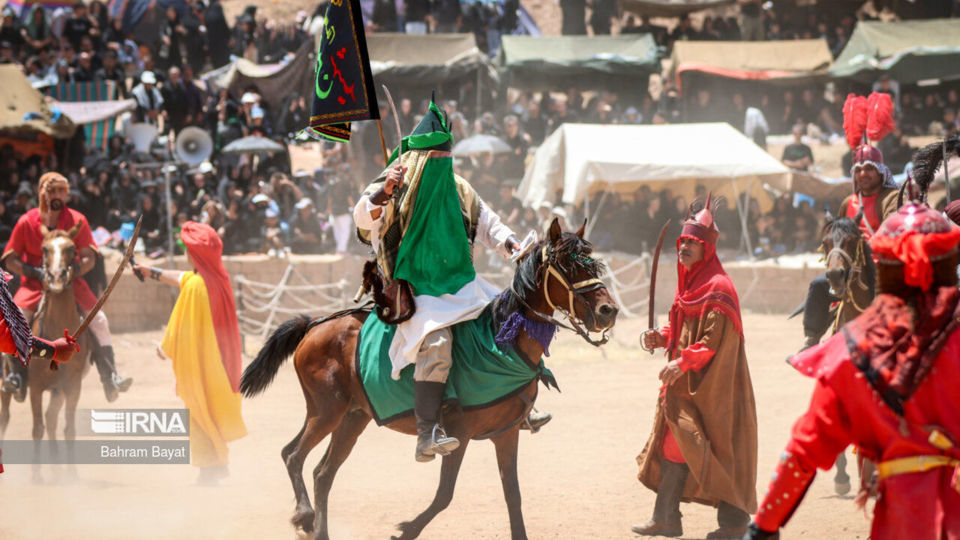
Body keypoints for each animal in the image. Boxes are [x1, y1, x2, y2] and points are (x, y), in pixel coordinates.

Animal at [0, 224, 92, 480]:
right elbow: (37, 428)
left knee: (52, 419)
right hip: (7, 385)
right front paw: (36, 474)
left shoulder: (72, 386)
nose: (56, 277)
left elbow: (68, 428)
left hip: (57, 391)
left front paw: (72, 473)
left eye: (71, 249)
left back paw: (57, 466)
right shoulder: (35, 386)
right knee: (5, 417)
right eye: (44, 249)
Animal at [238, 217, 616, 536]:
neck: (499, 343)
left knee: (322, 473)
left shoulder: (506, 434)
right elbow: (444, 495)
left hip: (353, 417)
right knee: (293, 456)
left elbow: (513, 496)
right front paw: (406, 530)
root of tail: (315, 325)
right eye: (568, 265)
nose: (608, 311)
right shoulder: (459, 434)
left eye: (594, 264)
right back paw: (305, 517)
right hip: (326, 410)